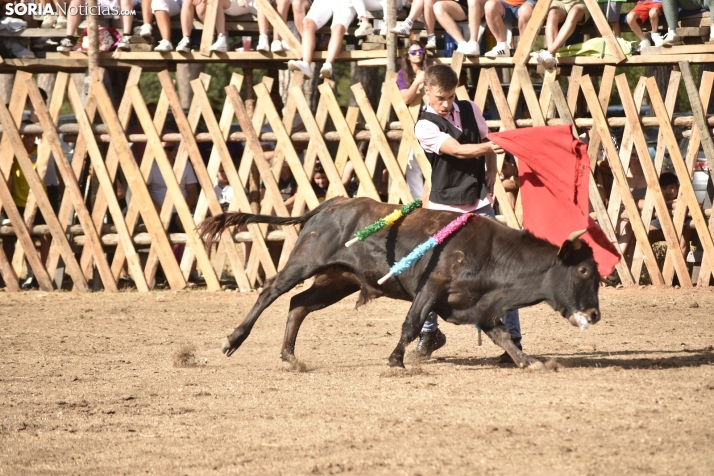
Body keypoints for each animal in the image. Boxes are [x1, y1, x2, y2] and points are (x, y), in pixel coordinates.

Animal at [196, 197, 600, 368]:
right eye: (583, 272)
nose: (595, 314)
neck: (492, 253)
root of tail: (330, 204)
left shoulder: (482, 308)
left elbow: (503, 336)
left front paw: (528, 361)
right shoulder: (431, 288)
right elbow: (411, 324)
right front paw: (395, 360)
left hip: (337, 281)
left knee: (298, 305)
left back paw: (290, 357)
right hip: (304, 262)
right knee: (271, 292)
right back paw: (233, 340)